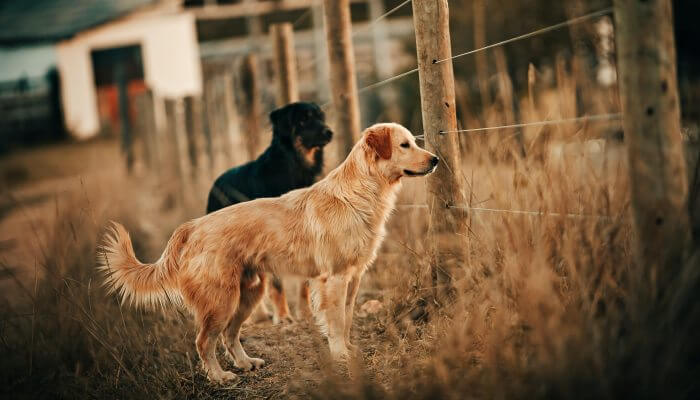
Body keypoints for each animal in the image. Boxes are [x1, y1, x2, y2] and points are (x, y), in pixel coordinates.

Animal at [98, 122, 438, 384]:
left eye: (413, 141)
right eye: (405, 145)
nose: (435, 159)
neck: (359, 193)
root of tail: (191, 227)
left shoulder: (353, 279)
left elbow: (347, 318)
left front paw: (348, 348)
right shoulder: (335, 279)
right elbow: (336, 321)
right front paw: (340, 355)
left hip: (249, 293)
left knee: (229, 335)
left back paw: (245, 363)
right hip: (221, 300)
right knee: (204, 341)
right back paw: (220, 376)